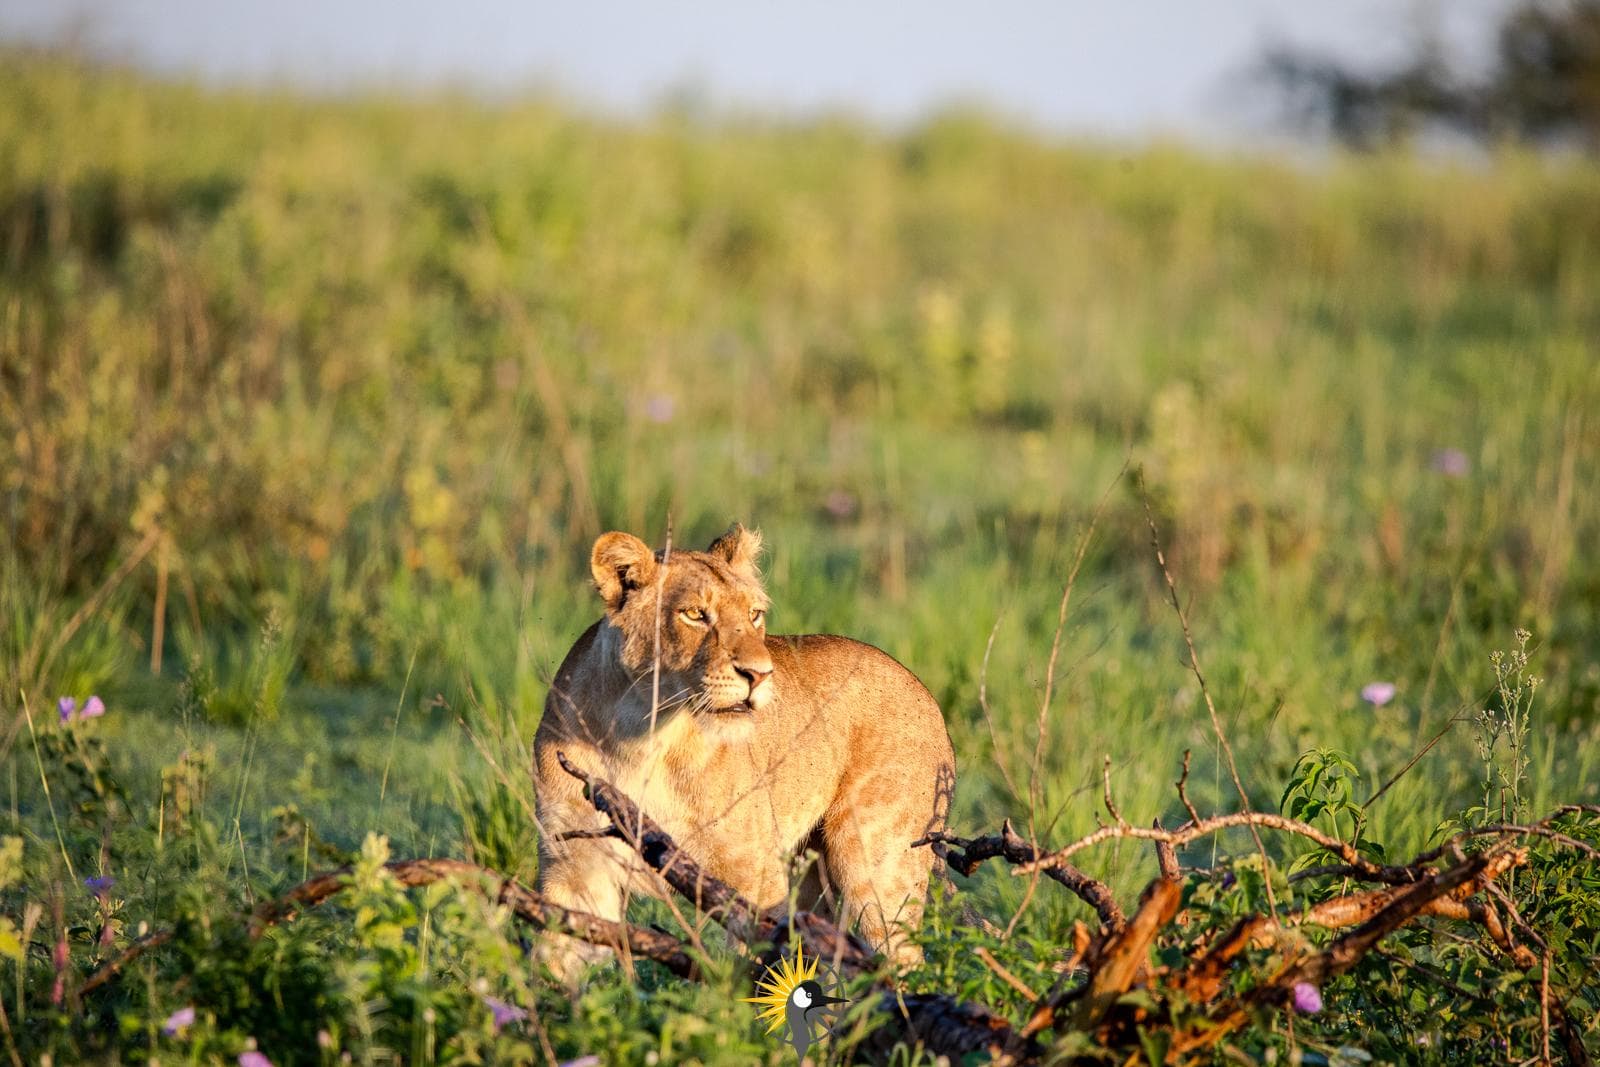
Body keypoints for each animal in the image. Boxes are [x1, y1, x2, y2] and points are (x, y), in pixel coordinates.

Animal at [532, 524, 955, 981]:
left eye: (754, 615)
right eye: (695, 614)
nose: (759, 674)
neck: (641, 735)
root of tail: (924, 690)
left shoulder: (751, 875)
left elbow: (752, 971)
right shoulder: (576, 865)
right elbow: (554, 962)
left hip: (879, 865)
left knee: (900, 960)